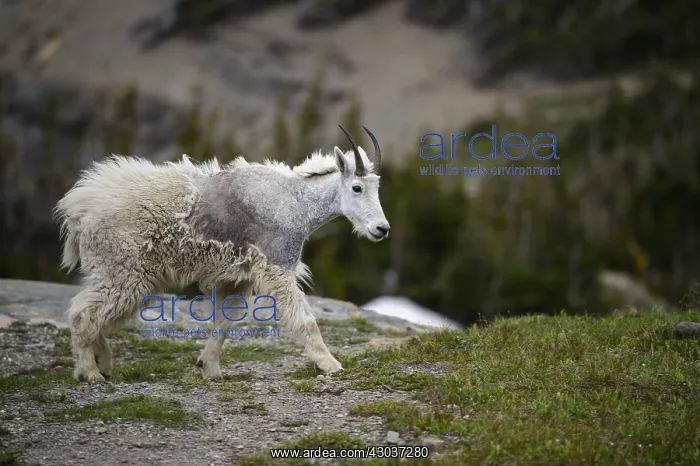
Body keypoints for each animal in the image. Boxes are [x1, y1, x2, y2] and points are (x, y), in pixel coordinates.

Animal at [54, 126, 390, 382]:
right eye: (357, 187)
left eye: (377, 187)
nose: (382, 229)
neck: (296, 203)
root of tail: (78, 212)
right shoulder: (276, 265)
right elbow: (305, 320)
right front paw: (330, 364)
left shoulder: (238, 277)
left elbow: (225, 323)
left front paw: (210, 368)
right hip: (122, 271)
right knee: (84, 314)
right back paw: (89, 372)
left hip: (124, 275)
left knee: (92, 313)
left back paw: (104, 363)